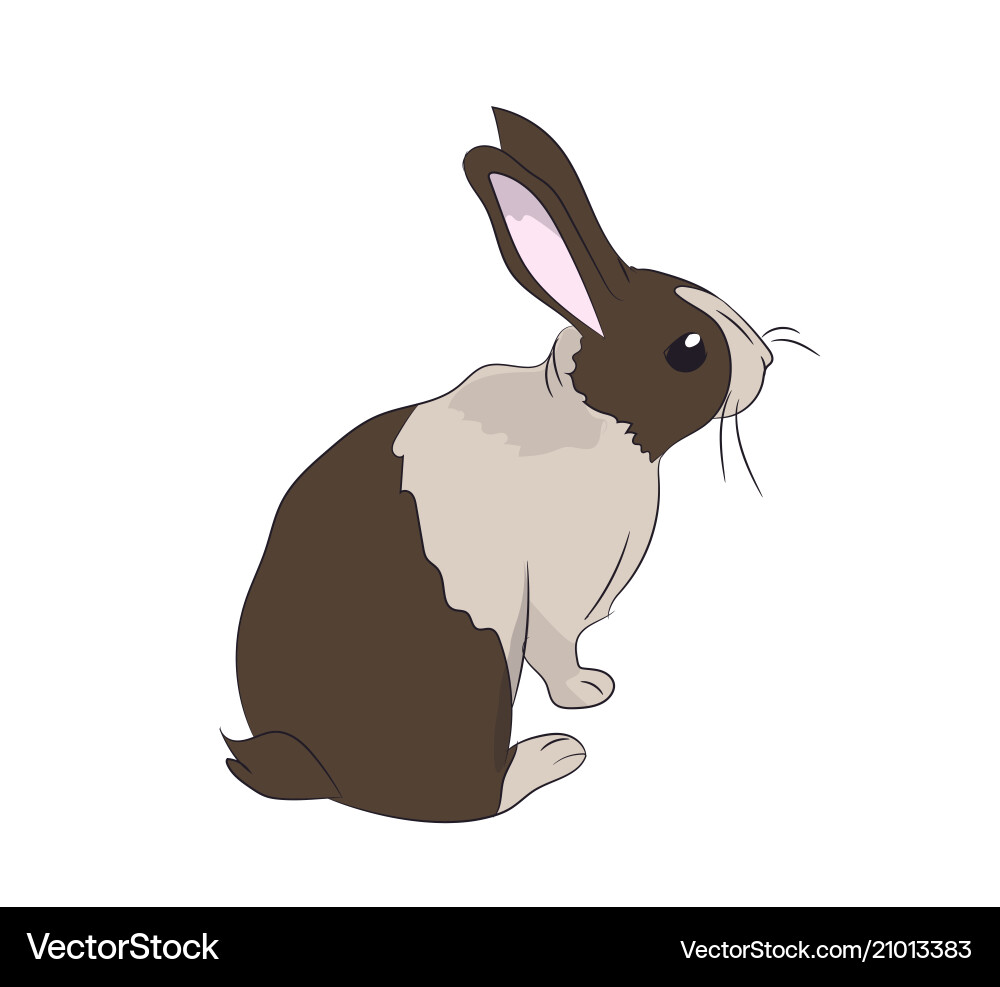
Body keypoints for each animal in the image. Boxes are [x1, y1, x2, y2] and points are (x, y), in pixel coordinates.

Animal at [224, 108, 775, 822]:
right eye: (688, 350)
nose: (766, 361)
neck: (594, 417)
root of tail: (320, 772)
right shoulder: (559, 592)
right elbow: (557, 651)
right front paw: (590, 691)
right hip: (474, 659)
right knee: (462, 796)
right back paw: (554, 755)